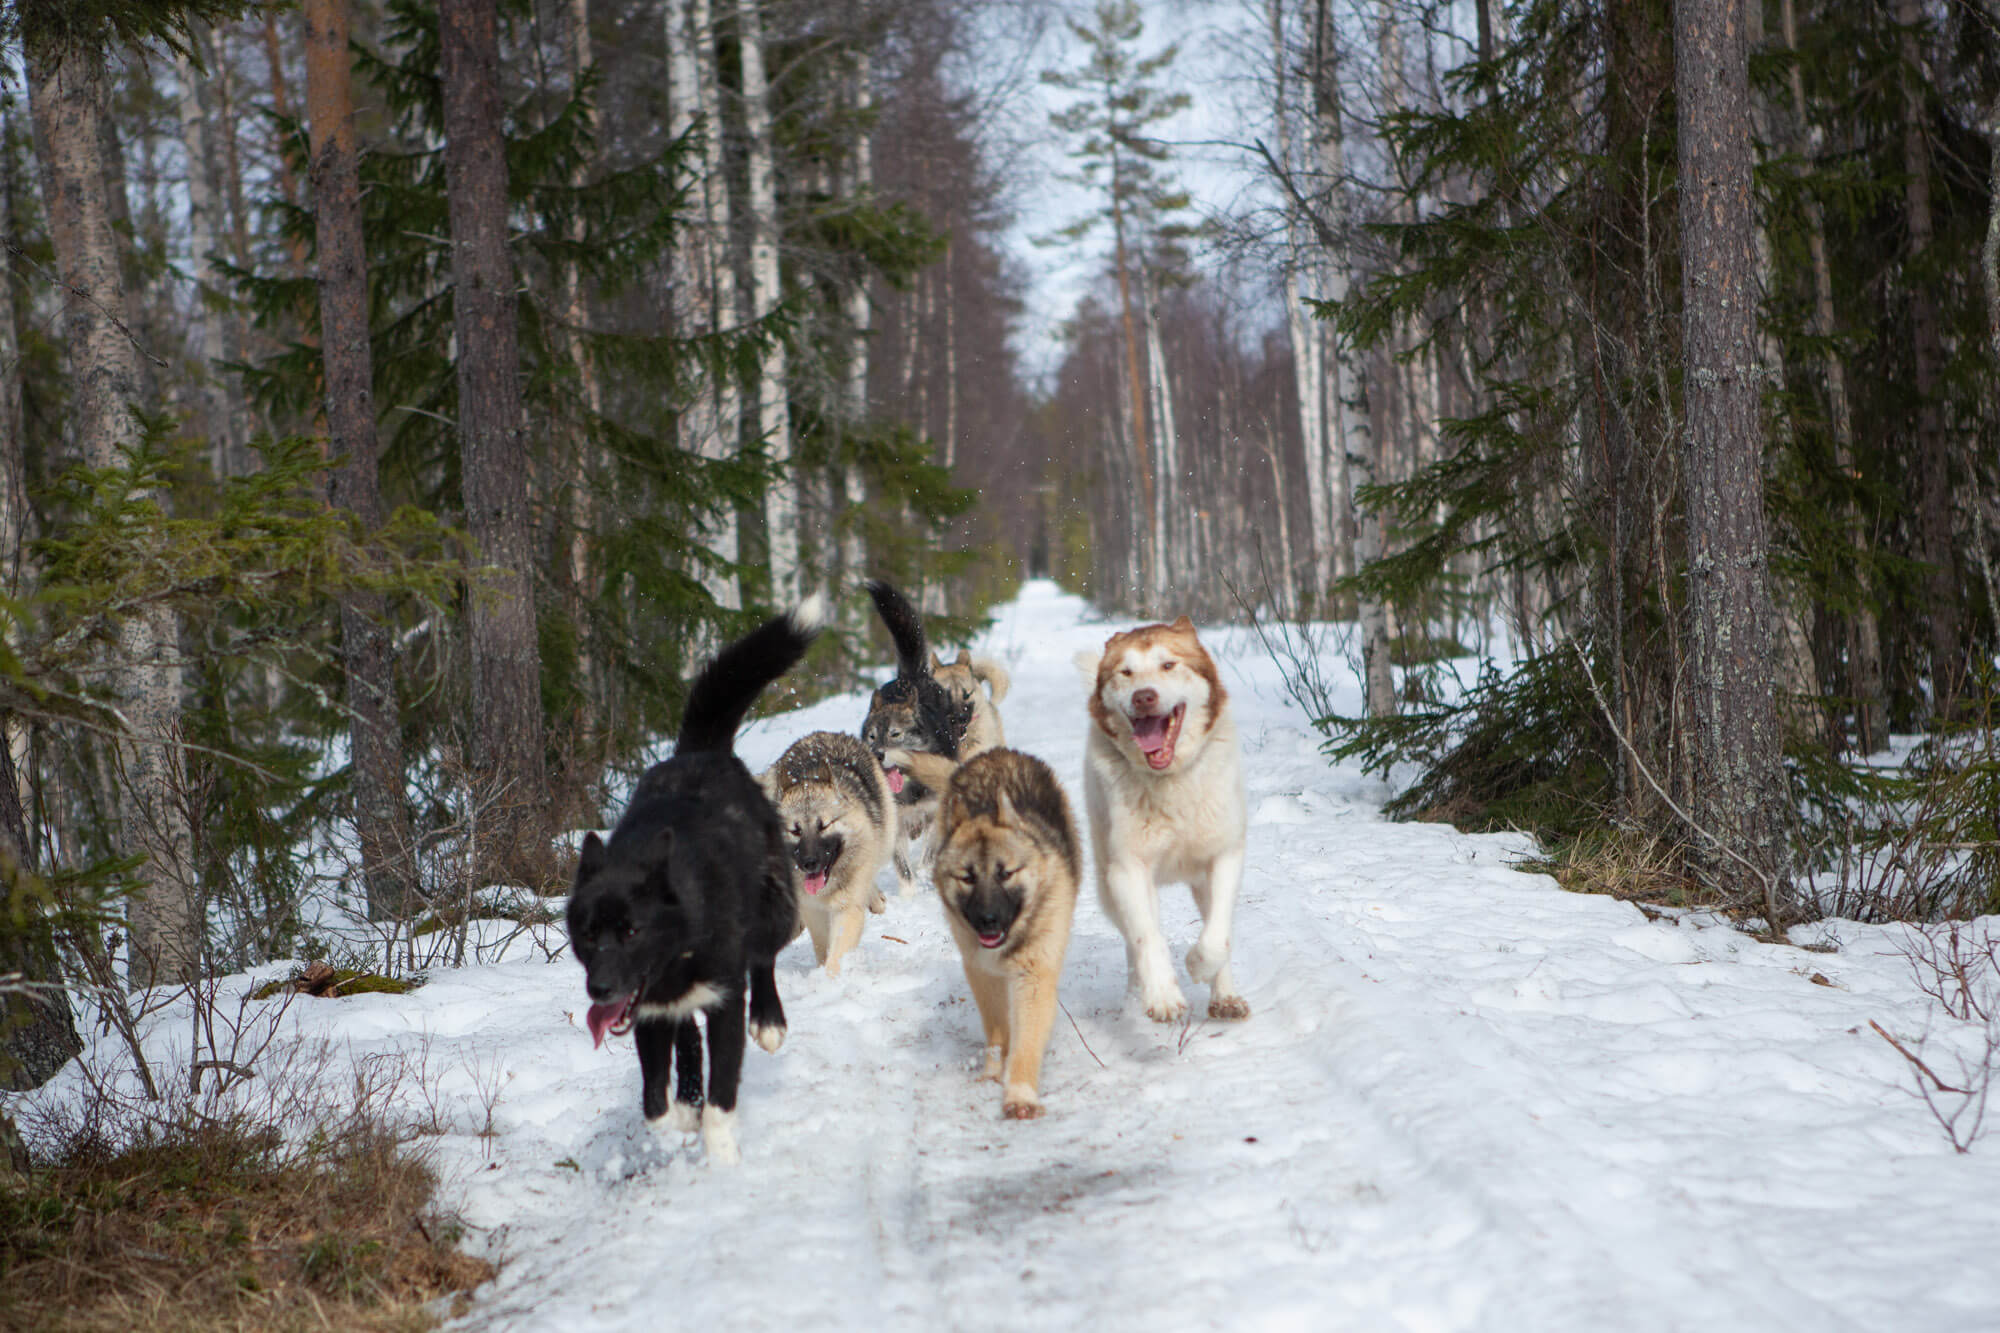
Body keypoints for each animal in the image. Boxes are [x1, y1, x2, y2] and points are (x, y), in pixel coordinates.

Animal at [564, 596, 820, 1160]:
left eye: (631, 931)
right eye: (588, 935)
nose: (600, 989)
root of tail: (700, 751)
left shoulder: (723, 1001)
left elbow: (723, 1095)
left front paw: (721, 1159)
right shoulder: (650, 1013)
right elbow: (655, 1102)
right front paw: (681, 1114)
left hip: (773, 905)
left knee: (764, 959)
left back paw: (769, 1021)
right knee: (687, 1042)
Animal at [764, 732, 892, 972]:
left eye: (823, 826)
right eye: (795, 831)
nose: (809, 863)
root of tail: (819, 734)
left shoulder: (846, 909)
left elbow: (837, 951)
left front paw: (830, 977)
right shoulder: (812, 910)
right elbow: (823, 946)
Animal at [888, 740, 1080, 1112]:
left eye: (1006, 873)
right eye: (967, 877)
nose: (987, 920)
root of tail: (993, 754)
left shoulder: (1034, 974)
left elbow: (1026, 1039)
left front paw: (1019, 1092)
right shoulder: (981, 971)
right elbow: (998, 1030)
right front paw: (993, 1074)